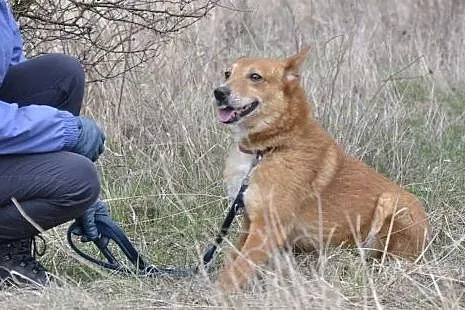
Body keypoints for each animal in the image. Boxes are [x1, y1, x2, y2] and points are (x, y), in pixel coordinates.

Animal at [212, 46, 430, 290]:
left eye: (255, 77)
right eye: (227, 73)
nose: (219, 93)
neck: (269, 148)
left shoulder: (267, 227)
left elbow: (235, 271)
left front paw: (216, 292)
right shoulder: (250, 221)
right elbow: (233, 257)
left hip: (390, 202)